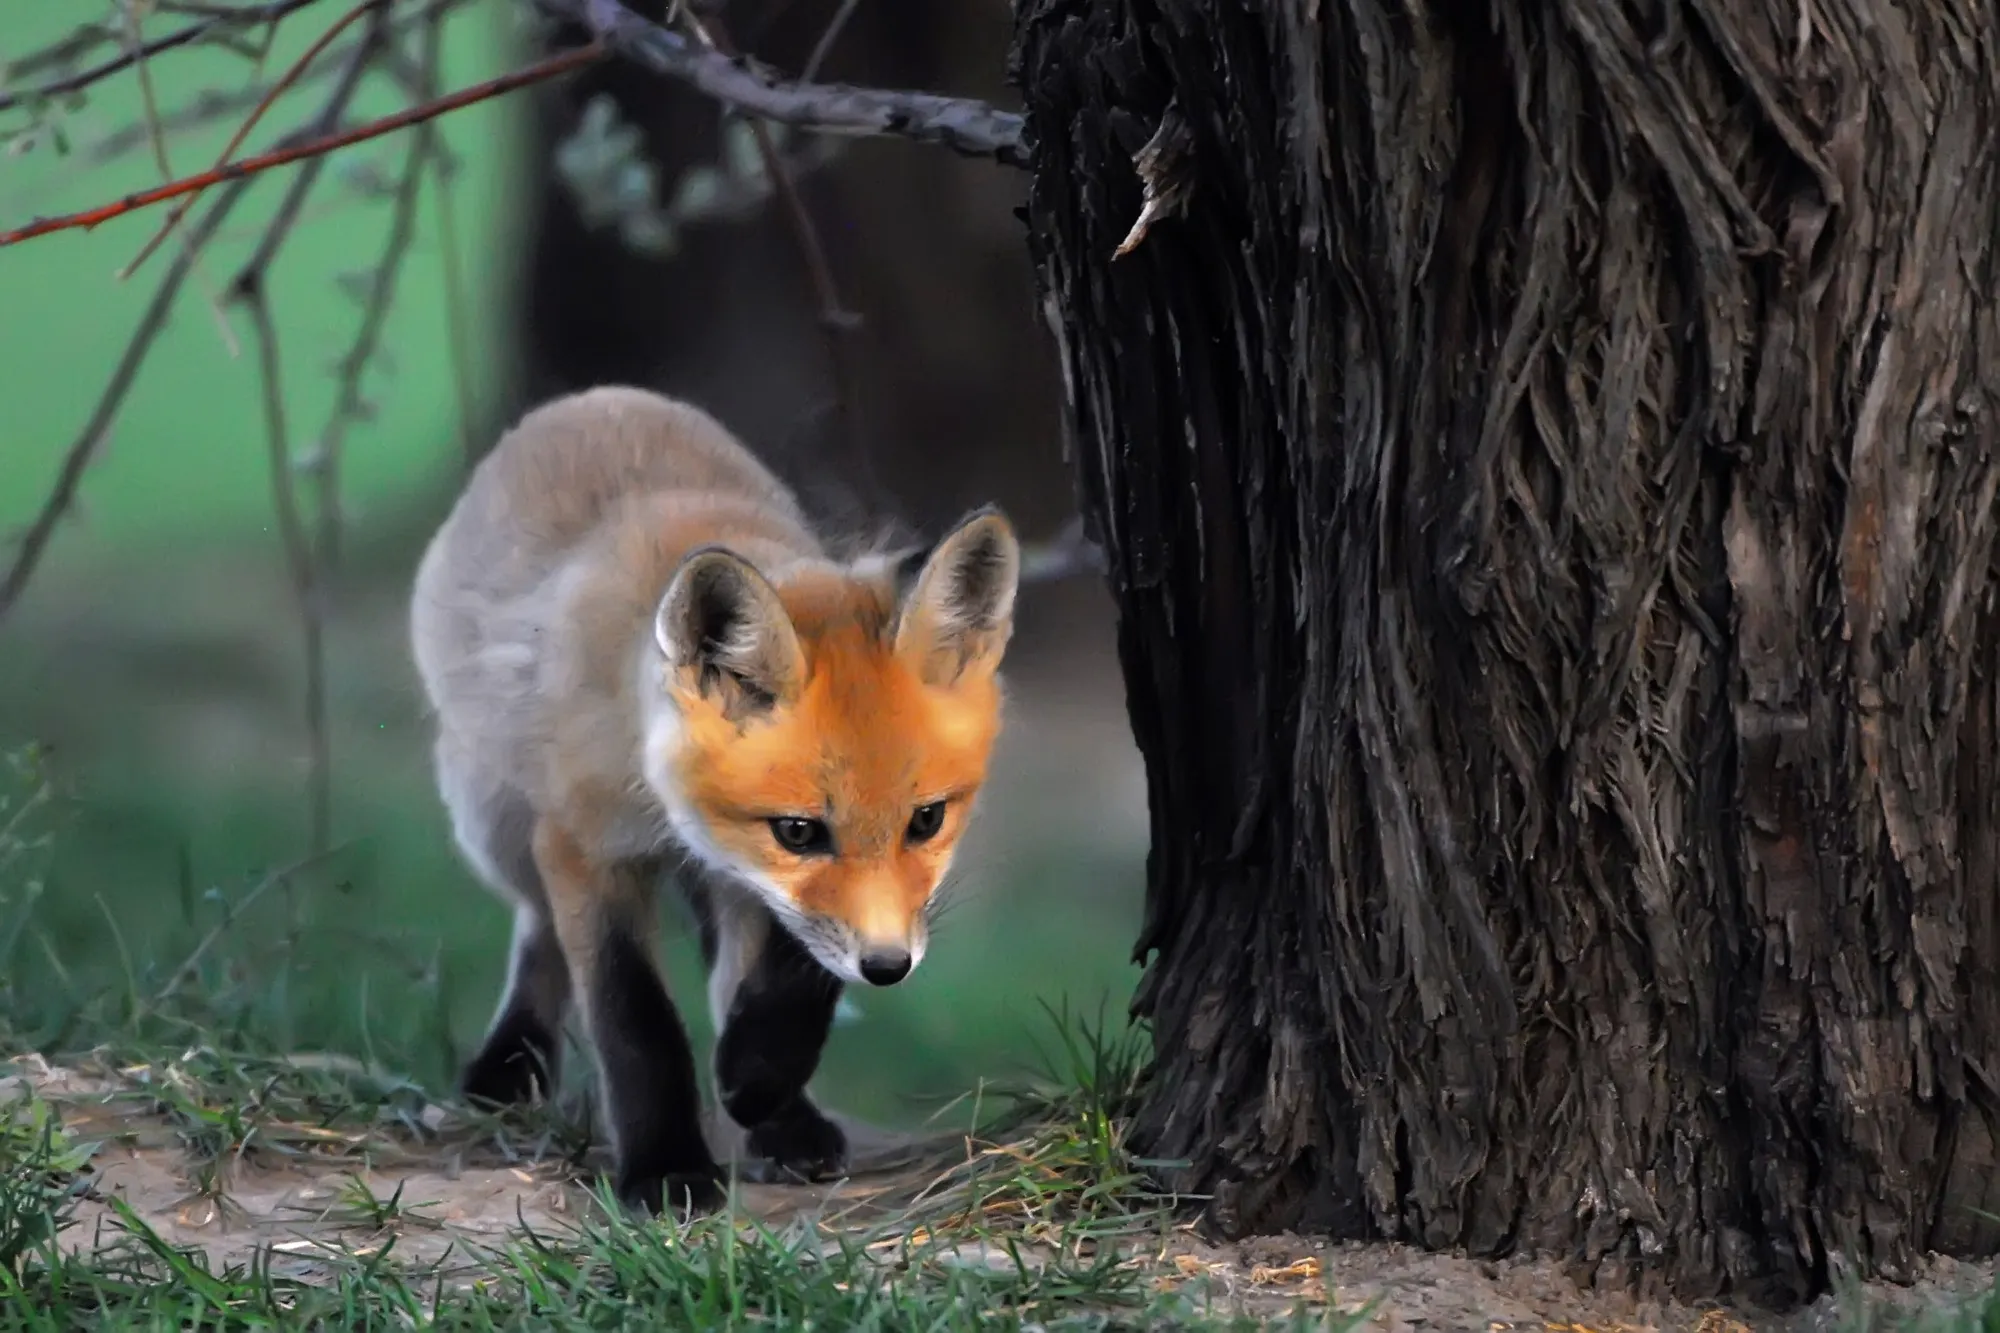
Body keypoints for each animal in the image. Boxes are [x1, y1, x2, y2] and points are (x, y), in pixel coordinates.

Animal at [407, 385, 1020, 1216]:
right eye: (800, 831)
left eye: (926, 820)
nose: (889, 965)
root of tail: (595, 396)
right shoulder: (586, 847)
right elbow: (635, 1020)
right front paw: (666, 1166)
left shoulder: (760, 884)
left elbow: (790, 977)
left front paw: (761, 1085)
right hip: (488, 813)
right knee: (537, 924)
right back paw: (509, 1064)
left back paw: (783, 1120)